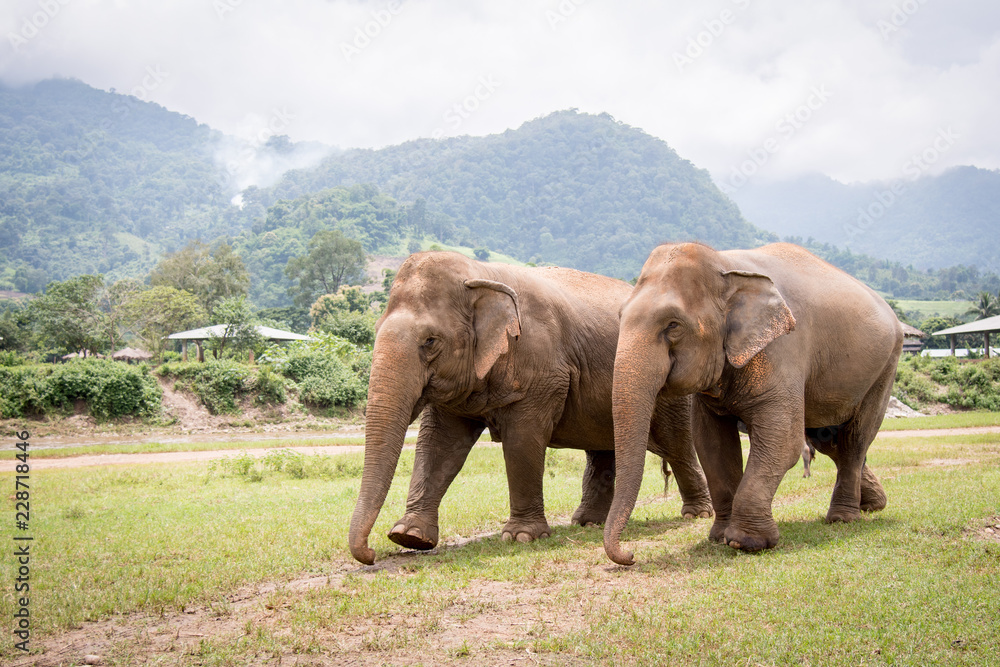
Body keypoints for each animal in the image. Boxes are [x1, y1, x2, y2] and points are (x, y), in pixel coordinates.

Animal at [348, 251, 714, 565]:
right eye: (375, 331)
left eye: (430, 341)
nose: (370, 554)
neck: (481, 273)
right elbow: (440, 445)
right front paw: (408, 536)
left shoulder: (544, 370)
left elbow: (523, 440)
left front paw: (522, 537)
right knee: (602, 448)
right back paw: (588, 523)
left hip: (671, 392)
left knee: (676, 444)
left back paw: (697, 514)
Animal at [604, 242, 903, 565]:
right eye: (620, 316)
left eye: (673, 324)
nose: (630, 554)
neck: (725, 265)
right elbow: (711, 444)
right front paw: (719, 536)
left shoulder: (782, 349)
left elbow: (782, 440)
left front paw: (746, 542)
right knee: (829, 440)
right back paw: (873, 505)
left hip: (886, 367)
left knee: (855, 439)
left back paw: (843, 518)